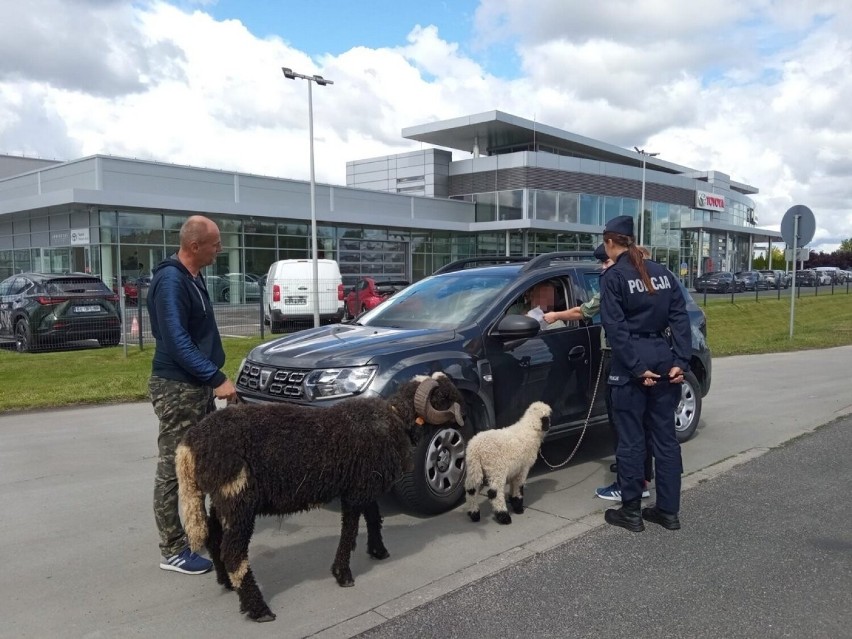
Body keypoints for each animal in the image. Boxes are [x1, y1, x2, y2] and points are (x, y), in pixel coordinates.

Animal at [175, 372, 466, 624]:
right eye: (445, 397)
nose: (464, 418)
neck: (392, 417)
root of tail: (189, 444)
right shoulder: (356, 490)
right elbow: (349, 530)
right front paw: (343, 574)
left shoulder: (364, 483)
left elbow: (374, 517)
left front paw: (378, 551)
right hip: (238, 497)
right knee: (234, 552)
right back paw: (259, 609)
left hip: (221, 497)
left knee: (214, 536)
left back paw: (226, 582)